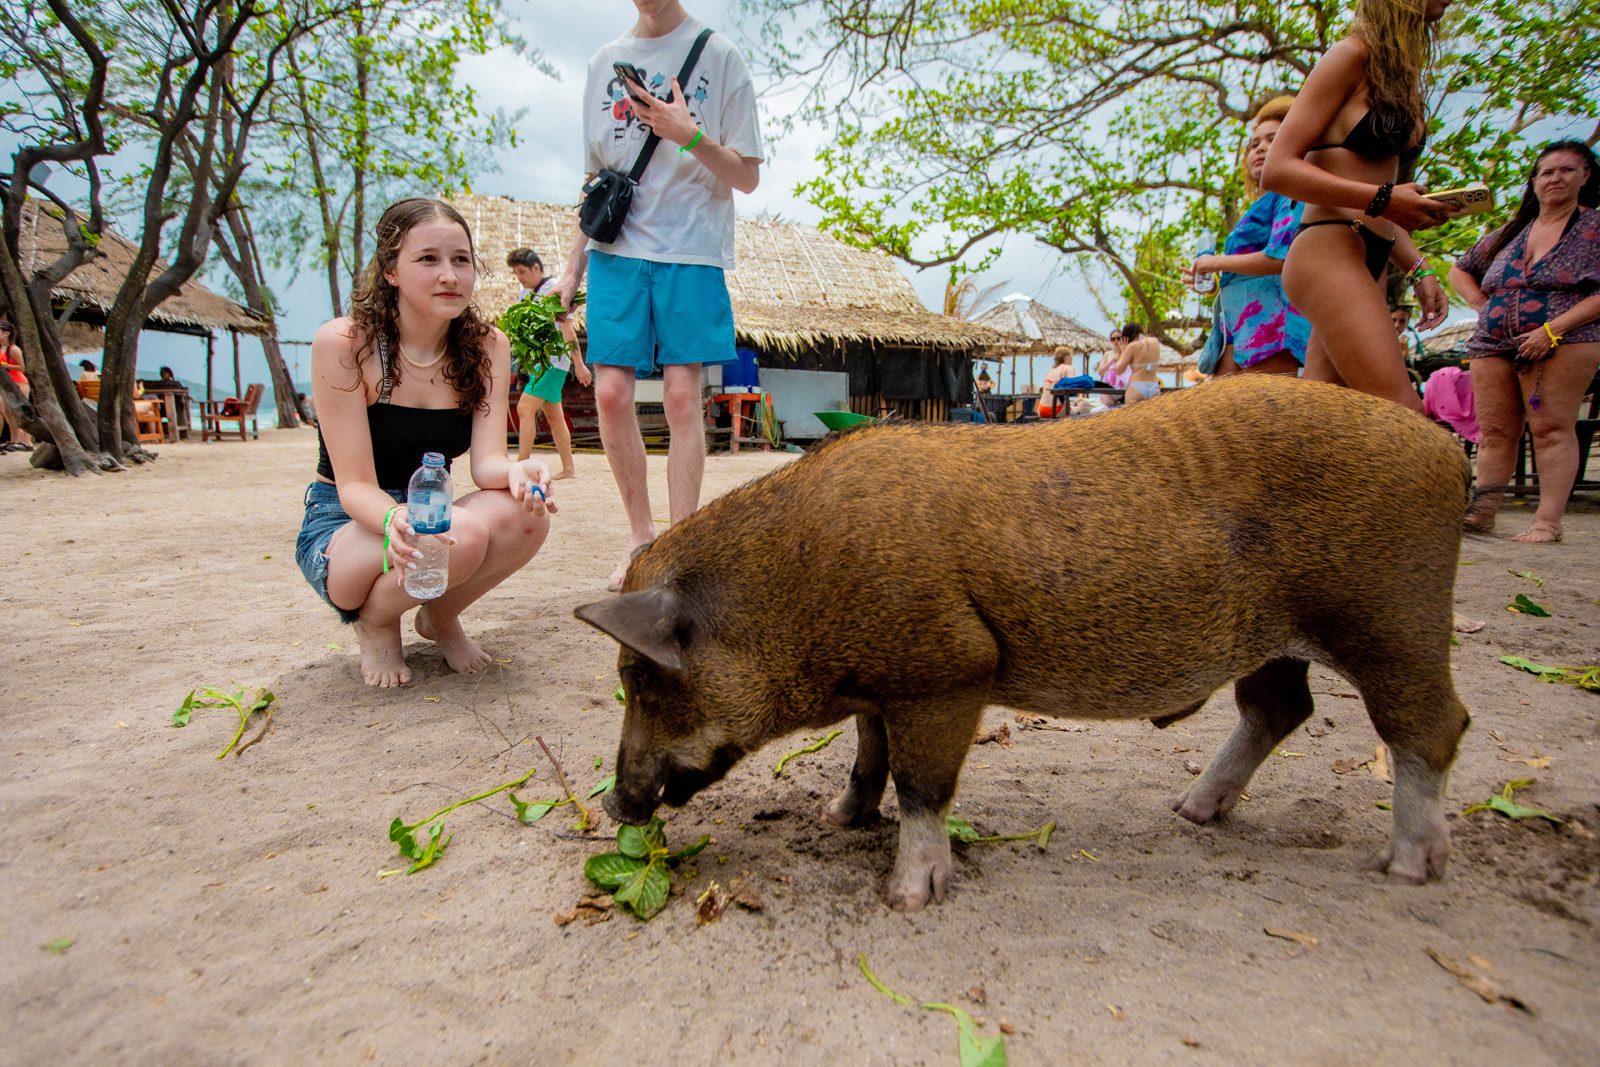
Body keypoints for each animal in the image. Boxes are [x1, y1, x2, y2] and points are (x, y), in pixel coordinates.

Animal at [576, 375, 1472, 910]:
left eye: (639, 675)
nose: (613, 804)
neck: (791, 589)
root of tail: (1440, 446)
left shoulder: (948, 668)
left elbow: (921, 783)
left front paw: (908, 896)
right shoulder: (882, 684)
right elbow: (867, 757)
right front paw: (839, 818)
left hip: (1393, 617)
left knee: (1433, 726)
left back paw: (1405, 869)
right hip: (1279, 639)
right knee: (1278, 709)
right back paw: (1189, 812)